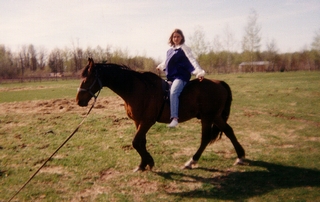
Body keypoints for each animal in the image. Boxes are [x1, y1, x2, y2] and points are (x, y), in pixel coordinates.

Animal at [75, 57, 245, 171]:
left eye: (87, 78)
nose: (78, 100)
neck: (138, 89)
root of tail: (219, 83)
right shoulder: (138, 122)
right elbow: (141, 142)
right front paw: (143, 164)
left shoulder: (147, 121)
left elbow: (136, 142)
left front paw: (149, 162)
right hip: (215, 116)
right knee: (228, 131)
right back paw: (240, 156)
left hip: (208, 117)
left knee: (206, 138)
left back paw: (192, 161)